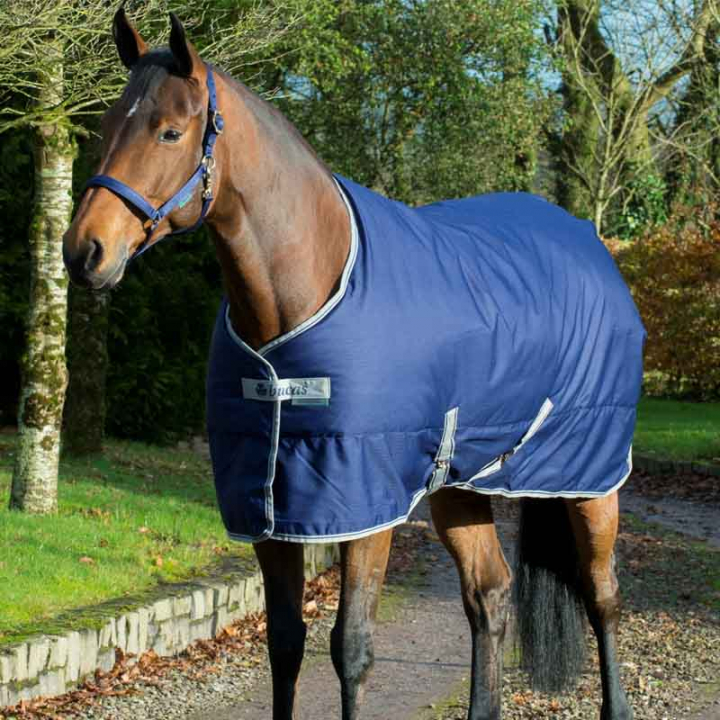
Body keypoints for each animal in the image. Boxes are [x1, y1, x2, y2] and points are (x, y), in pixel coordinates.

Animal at [63, 10, 642, 720]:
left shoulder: (366, 504)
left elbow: (352, 647)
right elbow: (286, 642)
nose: (85, 251)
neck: (306, 289)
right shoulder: (268, 503)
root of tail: (592, 246)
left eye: (170, 131)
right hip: (460, 485)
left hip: (591, 479)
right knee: (490, 594)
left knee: (601, 594)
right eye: (106, 125)